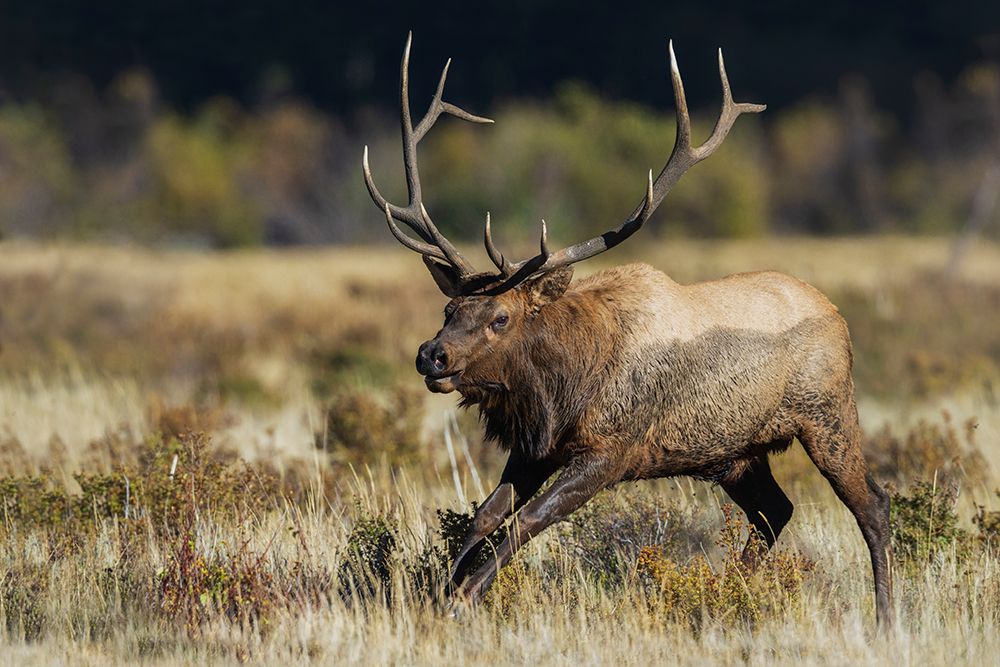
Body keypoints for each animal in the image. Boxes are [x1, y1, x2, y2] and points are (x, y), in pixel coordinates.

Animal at [362, 33, 893, 628]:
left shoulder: (611, 451)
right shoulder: (534, 448)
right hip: (737, 453)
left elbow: (529, 521)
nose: (431, 356)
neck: (565, 385)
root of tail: (839, 317)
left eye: (501, 317)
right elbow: (484, 517)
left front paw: (463, 598)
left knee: (873, 506)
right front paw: (435, 593)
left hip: (827, 415)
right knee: (775, 512)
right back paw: (723, 594)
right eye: (448, 308)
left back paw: (885, 619)